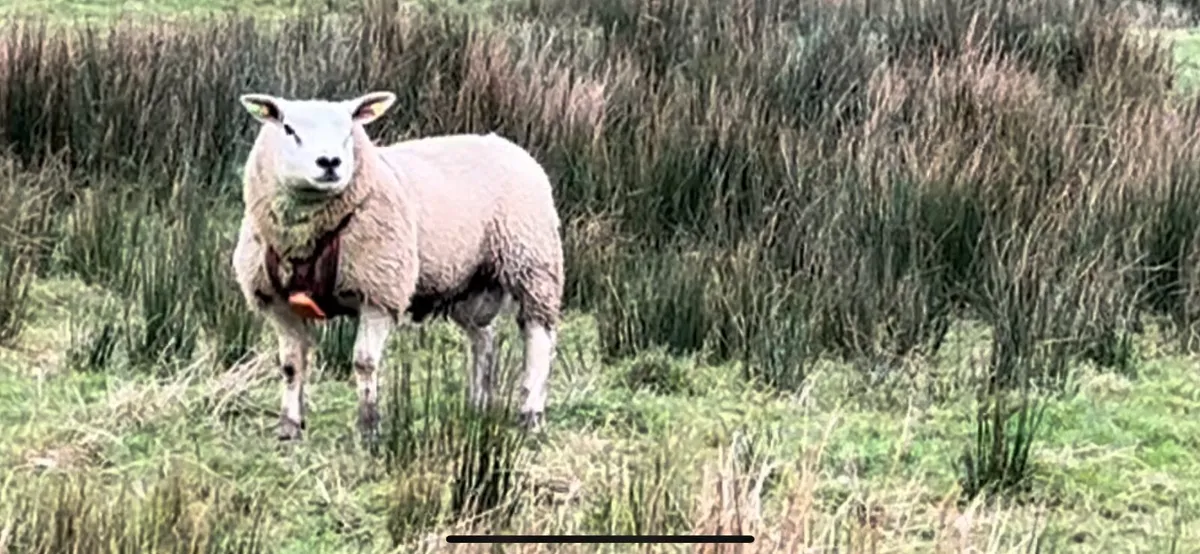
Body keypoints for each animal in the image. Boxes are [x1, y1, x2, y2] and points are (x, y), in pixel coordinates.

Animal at [231, 90, 563, 441]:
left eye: (349, 131)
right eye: (289, 129)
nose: (330, 163)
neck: (306, 237)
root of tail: (504, 143)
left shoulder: (379, 292)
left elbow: (364, 362)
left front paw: (369, 427)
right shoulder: (277, 301)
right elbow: (291, 365)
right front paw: (289, 427)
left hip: (532, 262)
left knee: (538, 335)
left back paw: (530, 414)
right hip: (472, 283)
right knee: (483, 339)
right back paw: (478, 406)